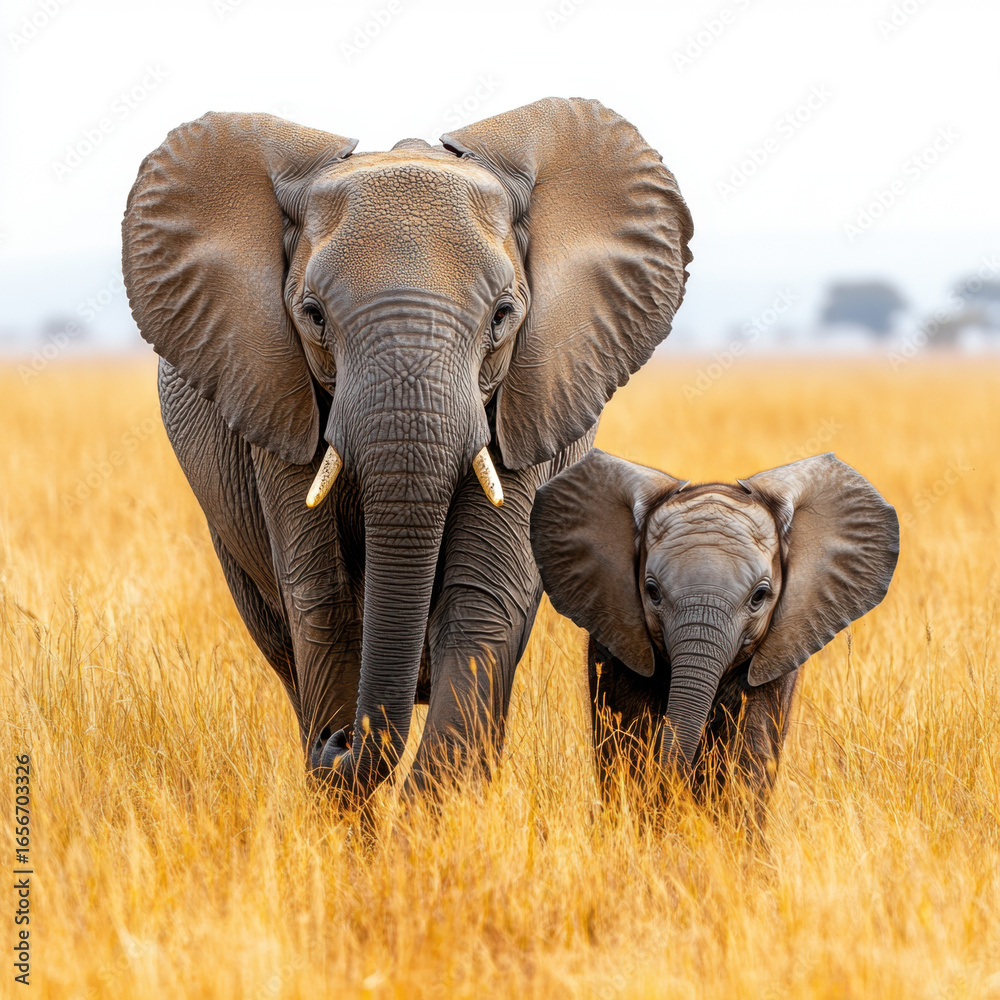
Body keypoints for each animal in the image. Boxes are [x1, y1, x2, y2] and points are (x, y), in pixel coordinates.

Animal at [121, 98, 693, 795]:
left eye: (502, 316)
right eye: (312, 315)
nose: (338, 740)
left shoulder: (524, 405)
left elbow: (483, 603)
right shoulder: (276, 394)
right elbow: (325, 605)